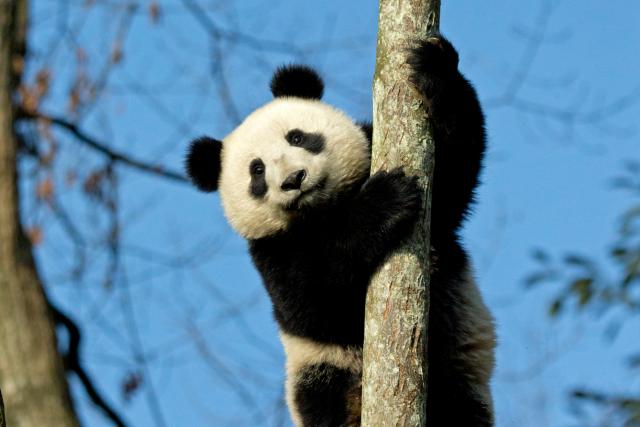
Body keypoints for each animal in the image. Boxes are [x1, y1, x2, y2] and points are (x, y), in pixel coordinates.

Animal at [185, 34, 496, 427]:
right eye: (257, 170)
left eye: (298, 137)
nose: (293, 180)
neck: (327, 209)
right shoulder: (271, 251)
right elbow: (315, 298)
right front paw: (383, 201)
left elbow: (452, 173)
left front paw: (435, 66)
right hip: (319, 371)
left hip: (458, 377)